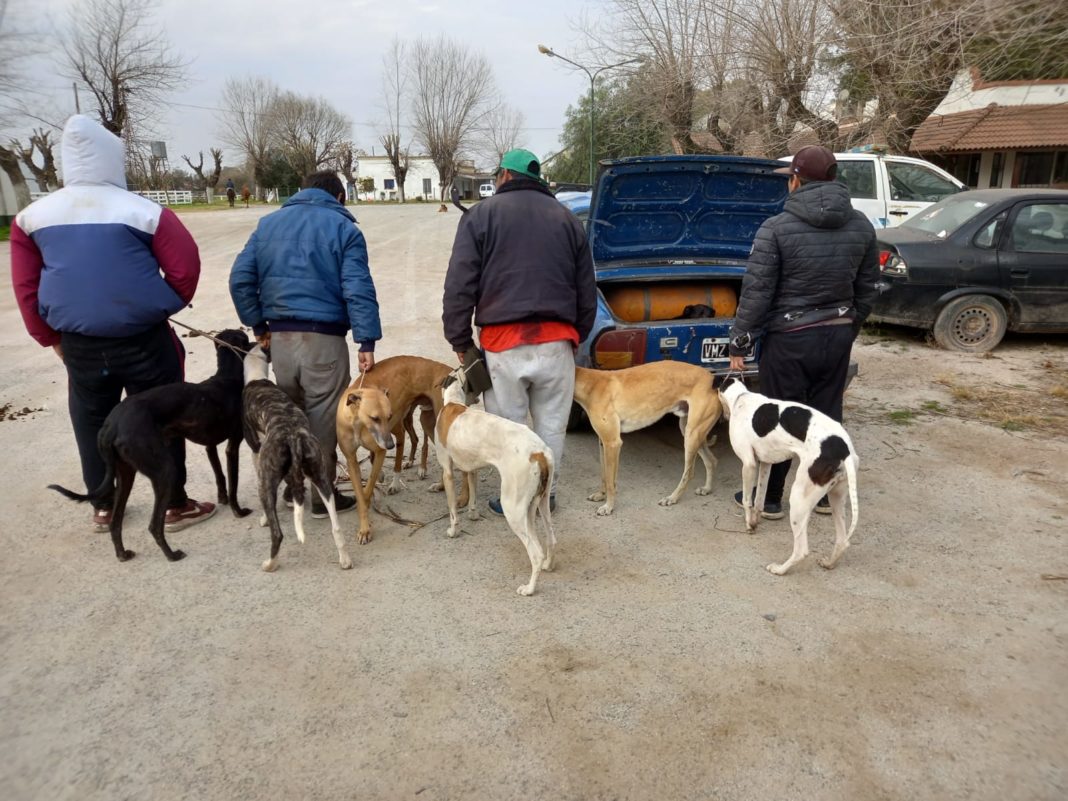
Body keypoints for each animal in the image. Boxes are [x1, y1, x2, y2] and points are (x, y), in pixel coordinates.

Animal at [50, 328, 252, 559]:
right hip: (164, 471)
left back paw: (123, 554)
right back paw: (172, 555)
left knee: (115, 522)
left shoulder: (209, 445)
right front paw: (239, 511)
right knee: (154, 525)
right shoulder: (232, 446)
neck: (226, 378)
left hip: (125, 473)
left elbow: (220, 476)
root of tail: (112, 425)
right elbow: (233, 481)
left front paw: (222, 498)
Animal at [242, 346, 350, 572]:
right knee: (336, 527)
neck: (256, 376)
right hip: (321, 477)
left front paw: (264, 518)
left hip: (267, 481)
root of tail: (292, 437)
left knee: (277, 534)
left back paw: (270, 564)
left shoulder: (256, 451)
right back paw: (345, 559)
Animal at [717, 378, 858, 576]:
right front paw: (755, 521)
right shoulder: (766, 463)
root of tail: (844, 451)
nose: (723, 416)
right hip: (836, 497)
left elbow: (747, 500)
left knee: (801, 550)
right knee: (842, 540)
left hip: (799, 499)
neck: (741, 397)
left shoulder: (749, 464)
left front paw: (748, 525)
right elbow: (759, 500)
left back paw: (779, 569)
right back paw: (829, 563)